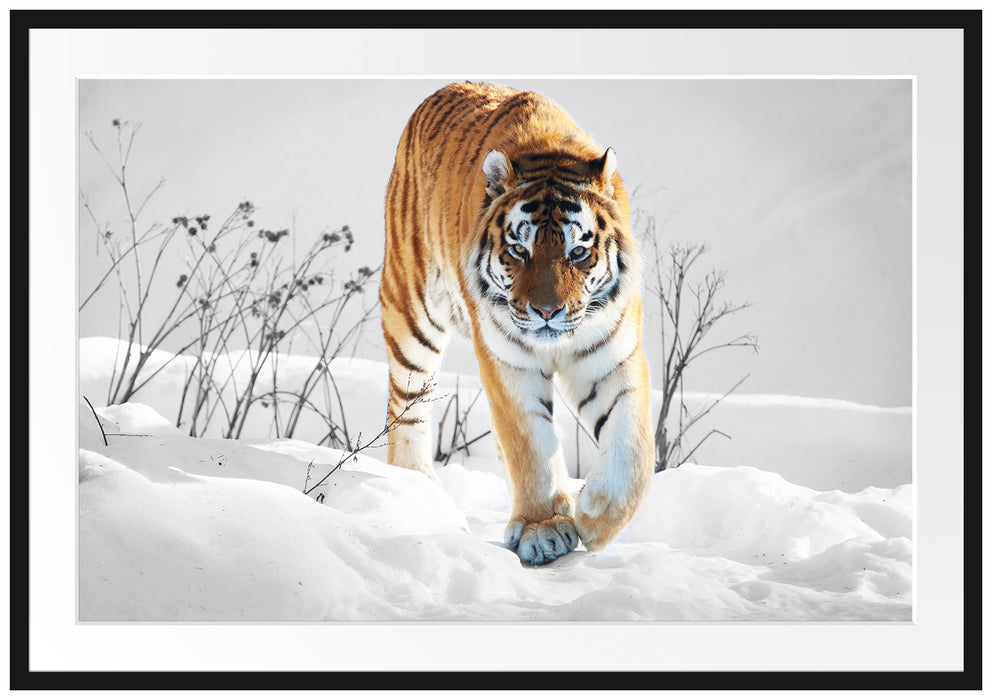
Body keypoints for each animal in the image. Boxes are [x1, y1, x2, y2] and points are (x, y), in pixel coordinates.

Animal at [379, 82, 654, 565]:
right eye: (518, 251)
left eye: (577, 253)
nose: (546, 311)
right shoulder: (508, 361)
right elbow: (530, 444)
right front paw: (542, 529)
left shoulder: (612, 355)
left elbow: (633, 445)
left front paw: (596, 516)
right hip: (411, 313)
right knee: (407, 405)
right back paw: (417, 488)